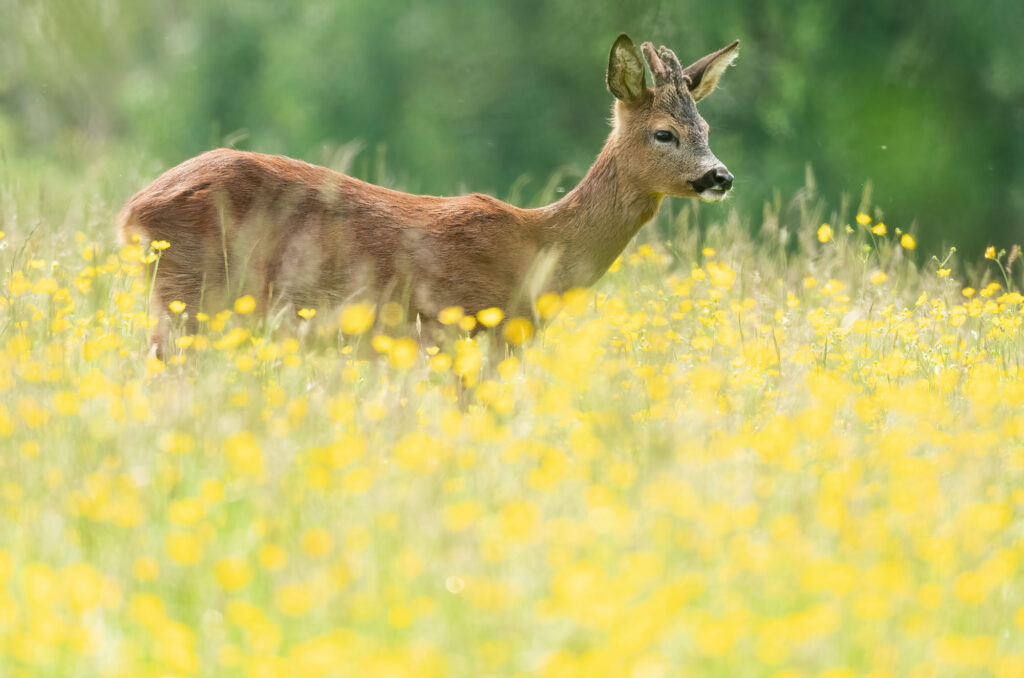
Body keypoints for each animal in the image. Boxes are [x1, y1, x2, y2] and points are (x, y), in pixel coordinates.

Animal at [117, 34, 737, 358]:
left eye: (707, 127)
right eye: (665, 133)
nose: (720, 176)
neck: (540, 248)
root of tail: (130, 212)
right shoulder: (462, 326)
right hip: (192, 297)